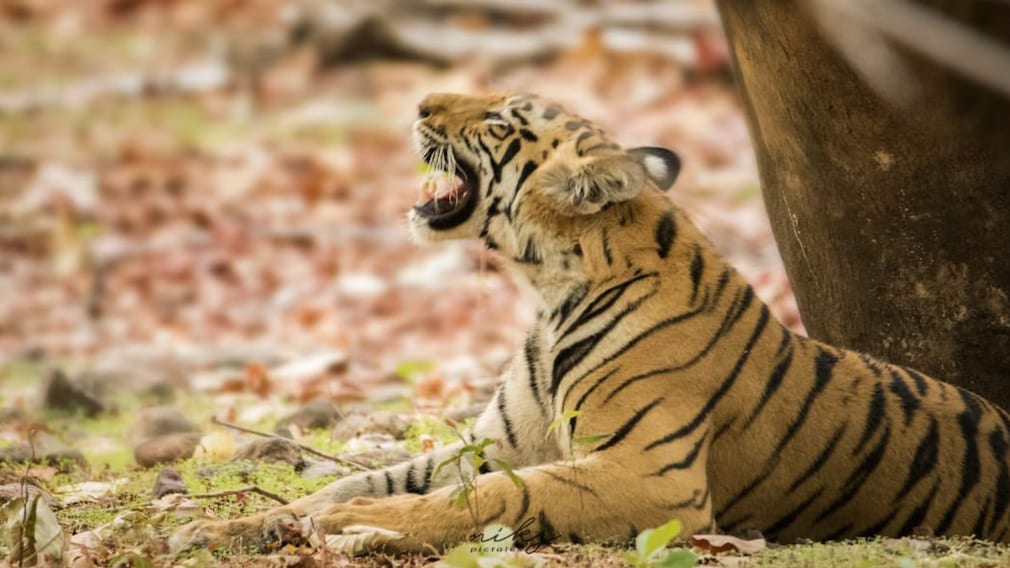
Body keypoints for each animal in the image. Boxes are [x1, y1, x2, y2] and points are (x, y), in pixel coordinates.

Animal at [171, 92, 1010, 554]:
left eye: (499, 120)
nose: (418, 106)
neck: (546, 292)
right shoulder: (501, 443)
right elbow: (360, 480)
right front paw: (221, 531)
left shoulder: (655, 479)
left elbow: (497, 497)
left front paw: (367, 523)